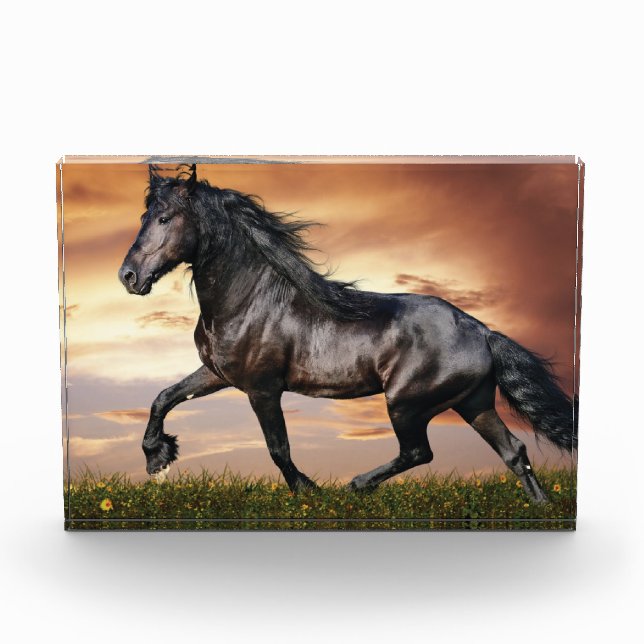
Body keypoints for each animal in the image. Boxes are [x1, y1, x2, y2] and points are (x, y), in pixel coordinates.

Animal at [118, 164, 578, 502]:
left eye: (164, 218)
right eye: (143, 216)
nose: (128, 276)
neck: (248, 300)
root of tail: (482, 330)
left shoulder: (262, 389)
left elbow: (278, 448)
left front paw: (309, 491)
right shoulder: (218, 374)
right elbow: (163, 397)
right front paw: (158, 458)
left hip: (407, 404)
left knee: (419, 452)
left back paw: (355, 485)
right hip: (473, 403)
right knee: (514, 453)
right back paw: (539, 507)